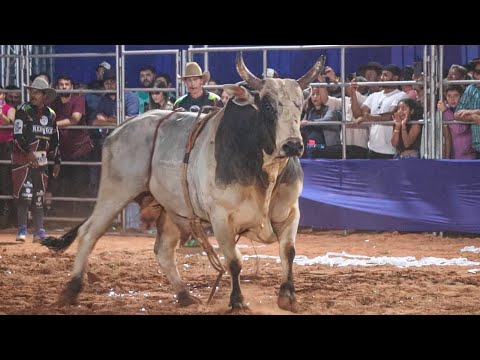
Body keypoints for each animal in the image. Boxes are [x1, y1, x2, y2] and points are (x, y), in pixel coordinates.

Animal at [47, 52, 326, 312]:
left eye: (300, 105)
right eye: (268, 106)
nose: (293, 144)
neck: (263, 169)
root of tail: (120, 129)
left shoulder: (290, 212)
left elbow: (288, 252)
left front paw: (288, 297)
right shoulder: (221, 218)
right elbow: (234, 261)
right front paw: (237, 301)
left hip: (170, 209)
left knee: (163, 250)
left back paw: (184, 294)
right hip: (114, 193)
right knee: (88, 233)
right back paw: (71, 290)